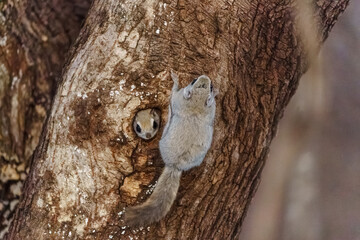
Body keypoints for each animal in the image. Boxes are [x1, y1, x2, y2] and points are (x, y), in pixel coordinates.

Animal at [124, 71, 217, 227]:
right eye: (194, 80)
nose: (205, 77)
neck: (196, 104)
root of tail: (175, 165)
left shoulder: (177, 98)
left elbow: (174, 92)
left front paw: (175, 80)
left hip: (162, 142)